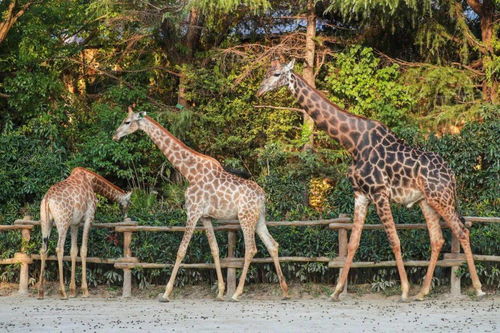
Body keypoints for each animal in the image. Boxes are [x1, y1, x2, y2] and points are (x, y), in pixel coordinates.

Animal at [37, 167, 131, 300]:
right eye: (128, 203)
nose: (126, 216)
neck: (91, 182)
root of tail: (47, 200)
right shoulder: (88, 218)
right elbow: (83, 250)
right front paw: (85, 290)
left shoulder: (74, 224)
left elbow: (73, 251)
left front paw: (73, 290)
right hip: (62, 222)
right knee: (59, 249)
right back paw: (62, 292)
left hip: (45, 222)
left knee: (43, 249)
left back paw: (41, 292)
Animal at [111, 105, 288, 300]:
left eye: (127, 122)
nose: (115, 135)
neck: (189, 172)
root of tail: (262, 196)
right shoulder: (206, 217)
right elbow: (215, 250)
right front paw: (220, 291)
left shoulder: (193, 212)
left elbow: (181, 250)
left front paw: (166, 292)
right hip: (259, 218)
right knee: (272, 244)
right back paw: (284, 290)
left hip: (245, 217)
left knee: (251, 249)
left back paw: (237, 293)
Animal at [256, 59, 482, 300]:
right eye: (266, 72)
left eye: (277, 74)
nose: (259, 91)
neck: (352, 142)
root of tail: (451, 174)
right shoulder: (360, 194)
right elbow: (353, 243)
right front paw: (336, 291)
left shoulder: (379, 192)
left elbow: (394, 240)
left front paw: (404, 290)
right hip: (427, 201)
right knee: (438, 239)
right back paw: (422, 292)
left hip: (442, 198)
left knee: (462, 231)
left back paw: (477, 288)